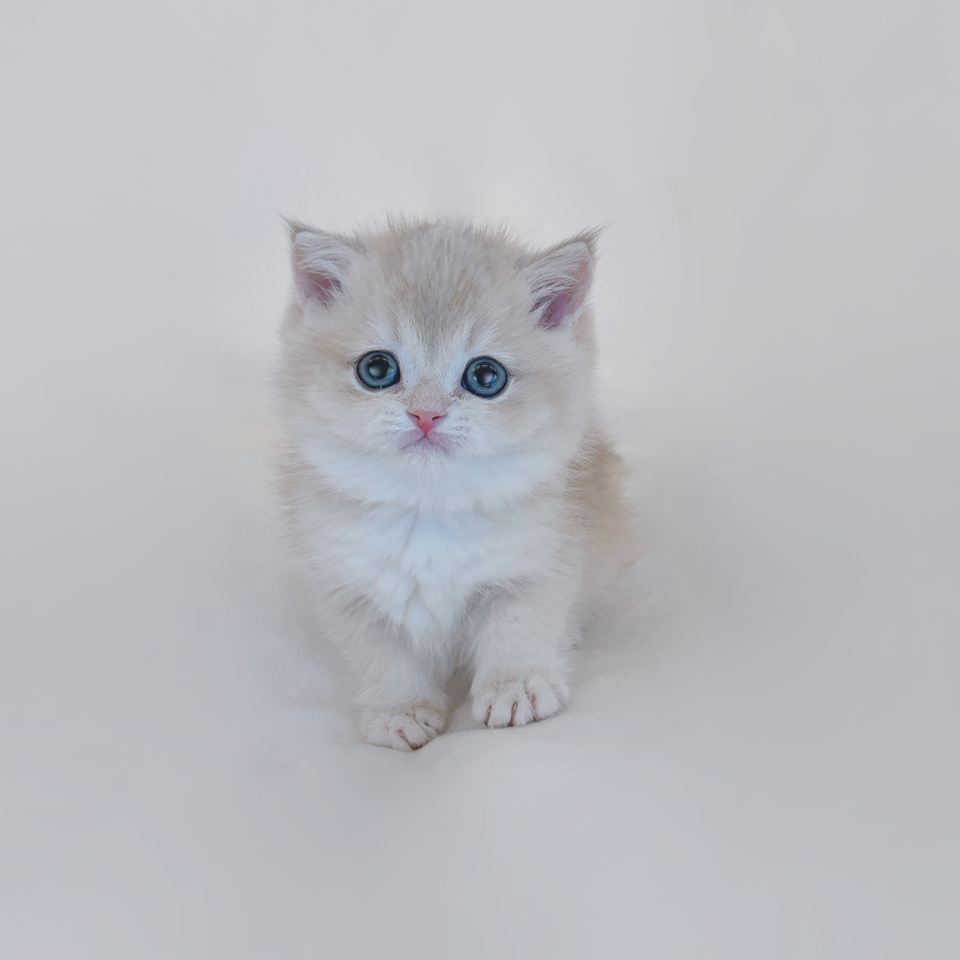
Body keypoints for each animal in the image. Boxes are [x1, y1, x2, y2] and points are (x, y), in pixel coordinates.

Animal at [275, 218, 632, 750]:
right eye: (377, 369)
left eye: (485, 376)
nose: (426, 414)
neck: (428, 509)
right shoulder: (348, 585)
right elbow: (381, 657)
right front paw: (399, 710)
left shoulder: (542, 559)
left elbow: (521, 625)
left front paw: (516, 687)